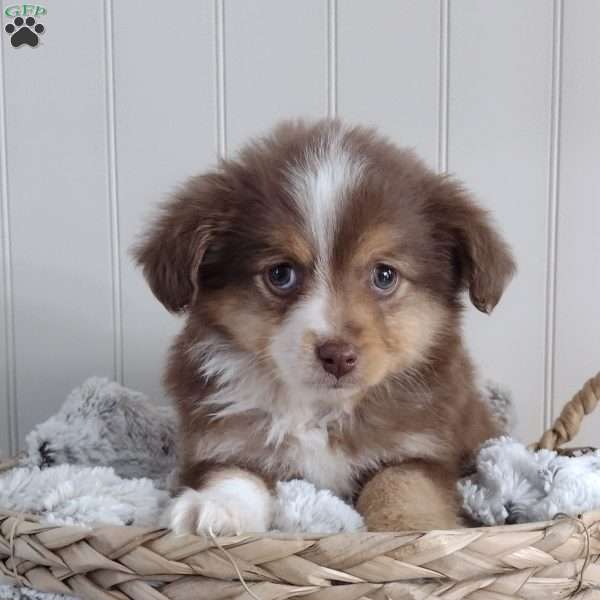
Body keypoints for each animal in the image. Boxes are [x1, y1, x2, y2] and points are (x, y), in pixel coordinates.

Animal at [132, 118, 516, 536]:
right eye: (281, 274)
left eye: (384, 275)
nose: (338, 356)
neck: (321, 410)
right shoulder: (222, 437)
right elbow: (234, 472)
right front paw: (216, 508)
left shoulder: (424, 447)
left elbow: (399, 482)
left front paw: (414, 525)